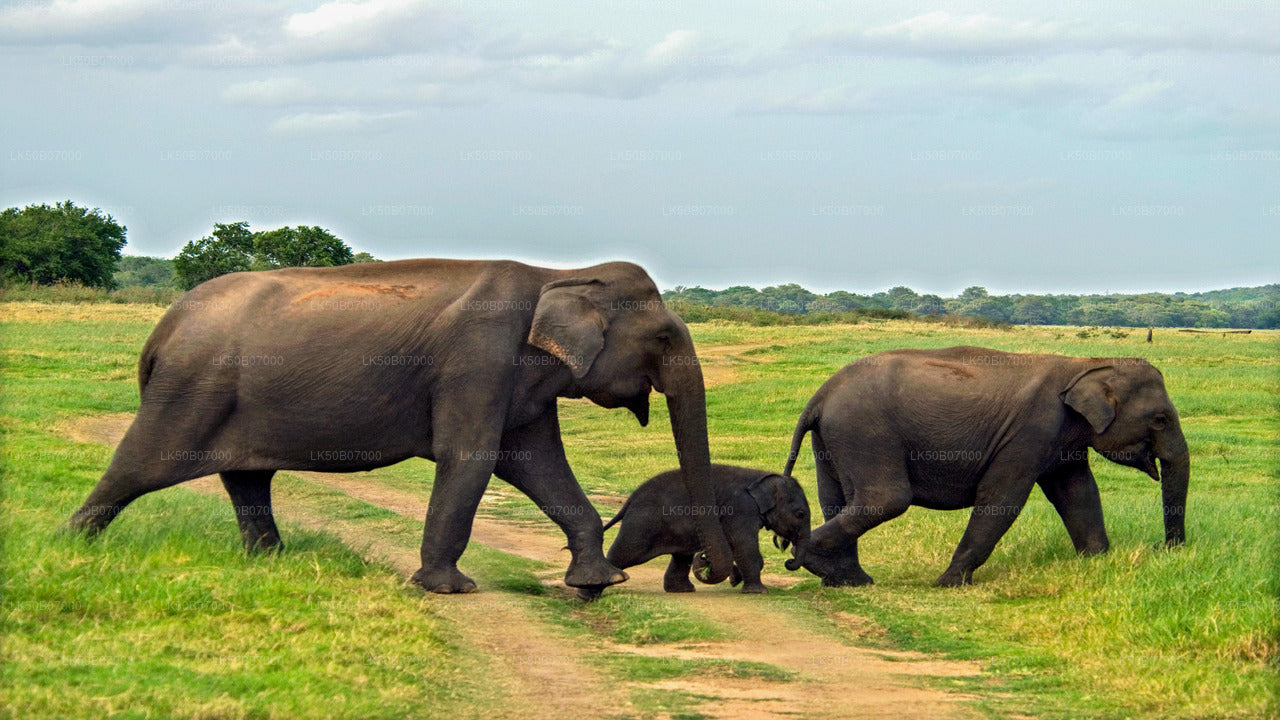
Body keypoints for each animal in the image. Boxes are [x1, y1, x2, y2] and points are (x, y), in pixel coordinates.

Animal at [67, 257, 732, 594]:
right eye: (663, 337)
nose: (708, 569)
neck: (559, 271)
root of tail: (161, 330)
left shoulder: (519, 379)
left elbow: (535, 463)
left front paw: (598, 583)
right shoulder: (479, 358)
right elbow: (472, 458)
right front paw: (449, 589)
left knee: (247, 479)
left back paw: (272, 562)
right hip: (191, 390)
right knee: (140, 465)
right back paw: (69, 544)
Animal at [581, 461, 808, 597]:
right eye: (800, 514)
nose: (788, 561)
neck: (761, 477)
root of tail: (630, 499)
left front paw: (736, 579)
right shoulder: (740, 509)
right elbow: (744, 545)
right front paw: (758, 592)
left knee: (682, 555)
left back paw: (681, 590)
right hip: (642, 524)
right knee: (626, 552)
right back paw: (590, 591)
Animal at [778, 345, 1187, 586]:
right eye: (1160, 420)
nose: (1162, 548)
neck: (1085, 365)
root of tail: (820, 396)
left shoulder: (1061, 439)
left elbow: (1077, 492)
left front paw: (1097, 563)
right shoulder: (1030, 430)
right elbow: (1003, 497)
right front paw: (948, 584)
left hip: (833, 437)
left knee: (837, 499)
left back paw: (847, 580)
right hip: (864, 431)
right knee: (887, 499)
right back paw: (815, 561)